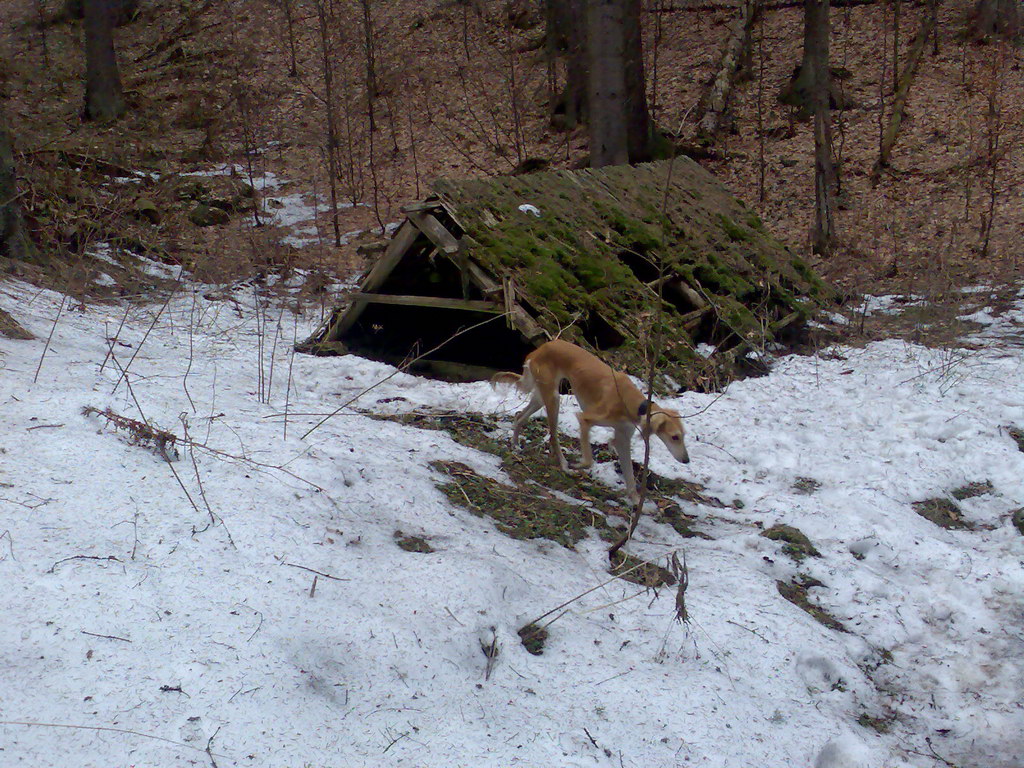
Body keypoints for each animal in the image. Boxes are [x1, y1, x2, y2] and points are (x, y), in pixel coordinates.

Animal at [493, 339, 692, 501]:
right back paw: (564, 465)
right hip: (553, 398)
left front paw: (636, 501)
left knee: (519, 416)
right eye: (675, 437)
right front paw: (579, 464)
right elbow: (589, 459)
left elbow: (628, 473)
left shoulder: (623, 438)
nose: (686, 460)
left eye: (683, 436)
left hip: (542, 397)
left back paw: (515, 444)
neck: (632, 403)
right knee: (553, 436)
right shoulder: (585, 419)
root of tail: (540, 348)